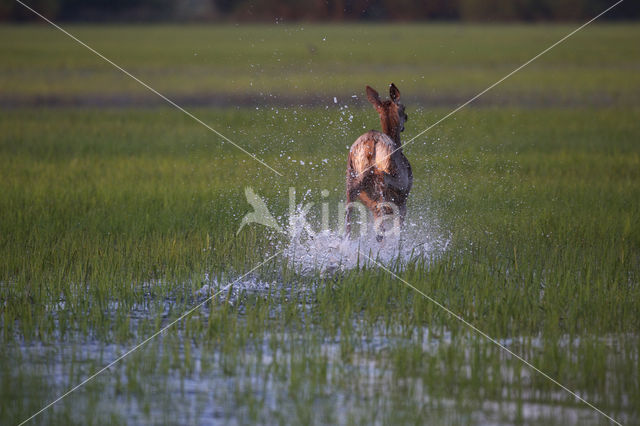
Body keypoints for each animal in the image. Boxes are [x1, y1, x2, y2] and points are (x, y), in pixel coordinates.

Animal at [344, 83, 416, 241]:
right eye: (403, 108)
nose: (406, 118)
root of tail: (371, 142)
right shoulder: (403, 198)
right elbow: (399, 230)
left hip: (351, 176)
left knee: (348, 211)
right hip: (390, 175)